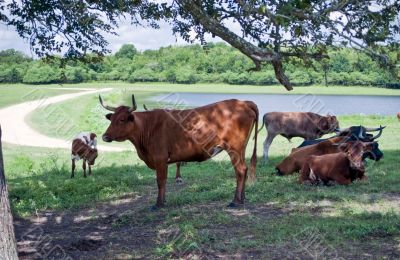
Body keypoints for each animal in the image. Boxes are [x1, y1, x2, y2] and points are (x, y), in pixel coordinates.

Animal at [98, 94, 258, 208]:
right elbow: (163, 180)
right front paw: (163, 201)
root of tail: (243, 102)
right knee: (244, 169)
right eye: (111, 119)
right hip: (241, 149)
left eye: (122, 119)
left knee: (240, 170)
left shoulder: (160, 158)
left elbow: (160, 180)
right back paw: (243, 198)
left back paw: (235, 201)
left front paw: (158, 204)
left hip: (234, 147)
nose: (105, 136)